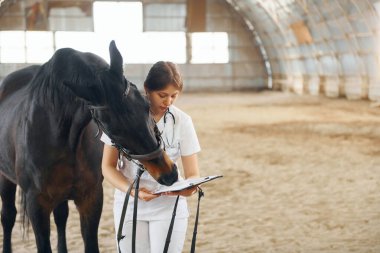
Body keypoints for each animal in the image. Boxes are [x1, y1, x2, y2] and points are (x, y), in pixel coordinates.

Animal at [0, 40, 178, 252]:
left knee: (61, 217)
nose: (169, 174)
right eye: (113, 130)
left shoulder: (90, 197)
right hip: (5, 179)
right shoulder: (36, 204)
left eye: (146, 105)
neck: (61, 137)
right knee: (8, 216)